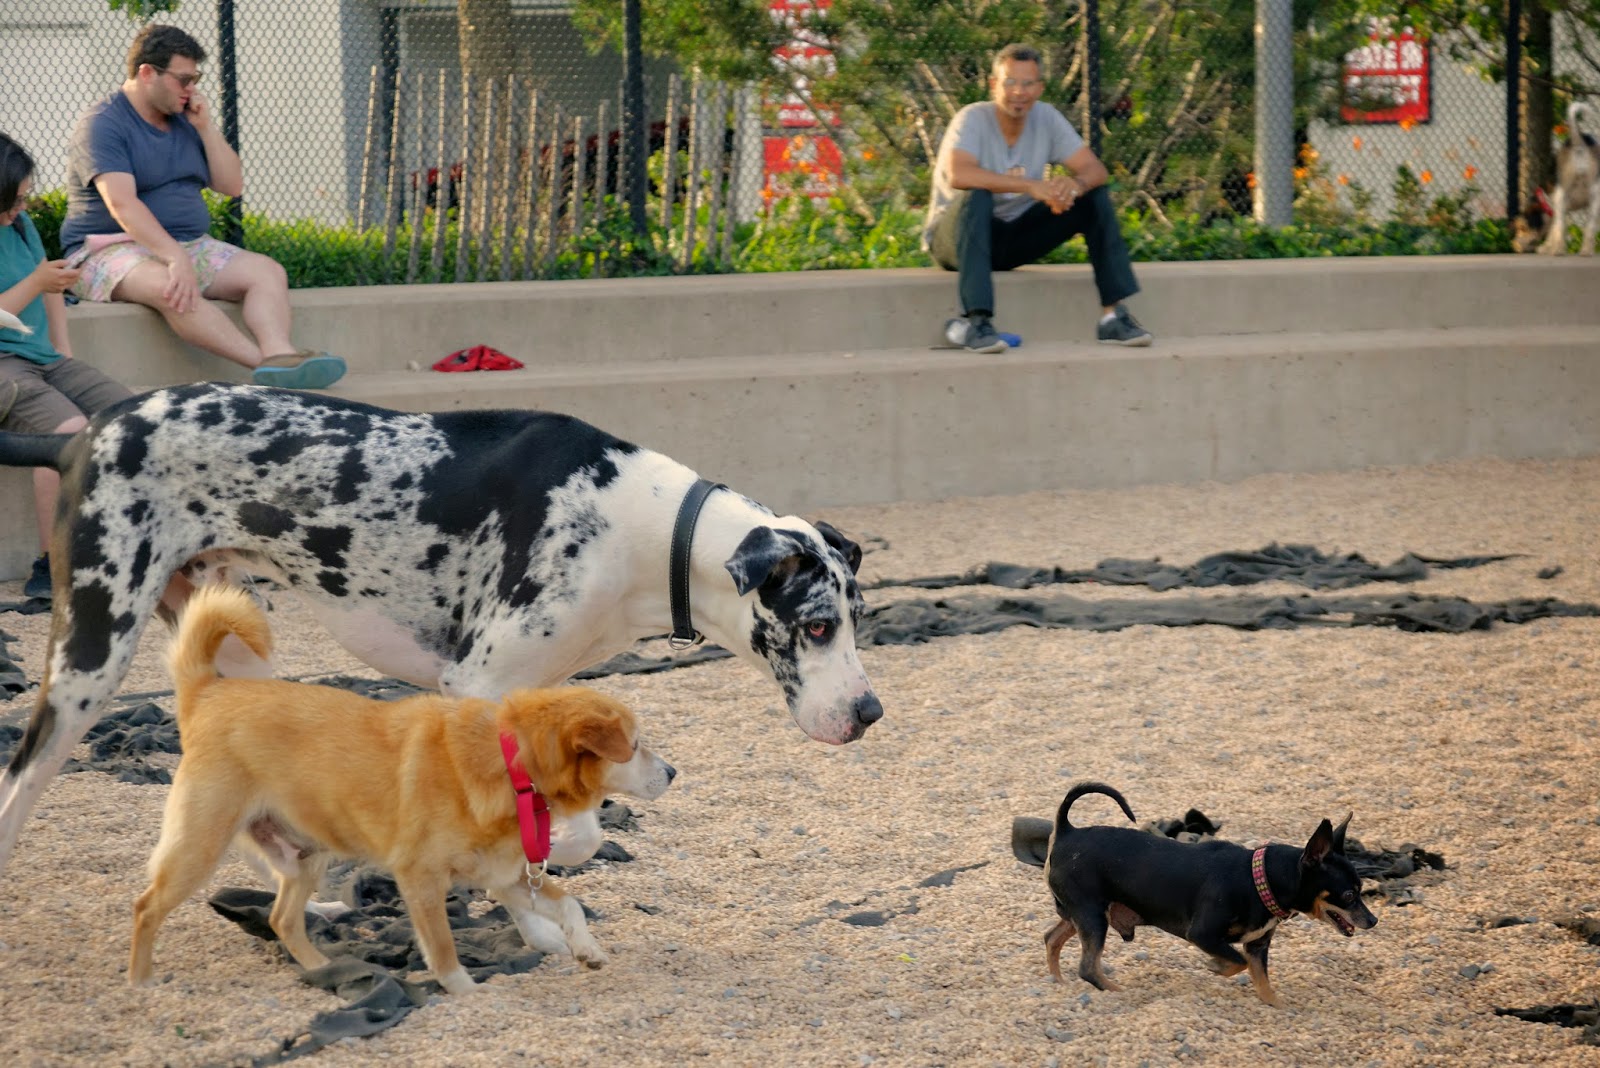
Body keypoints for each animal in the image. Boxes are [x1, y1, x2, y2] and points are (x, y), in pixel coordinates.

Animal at [0, 383, 889, 876]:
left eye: (856, 620)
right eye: (816, 627)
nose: (870, 713)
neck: (646, 524)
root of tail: (82, 435)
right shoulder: (477, 685)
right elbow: (570, 832)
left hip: (233, 651)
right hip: (90, 656)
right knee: (18, 784)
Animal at [128, 585, 672, 991]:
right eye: (636, 745)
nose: (672, 773)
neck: (510, 763)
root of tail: (206, 693)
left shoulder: (505, 876)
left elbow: (570, 904)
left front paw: (588, 950)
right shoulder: (421, 878)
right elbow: (445, 950)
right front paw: (467, 994)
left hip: (307, 855)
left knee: (283, 919)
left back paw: (323, 969)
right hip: (201, 846)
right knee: (147, 906)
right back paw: (142, 983)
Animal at [1036, 780, 1376, 1004]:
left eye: (1362, 890)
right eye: (1349, 895)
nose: (1373, 921)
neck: (1258, 879)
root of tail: (1066, 831)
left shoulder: (1257, 946)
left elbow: (1262, 981)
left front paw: (1276, 1006)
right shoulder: (1203, 935)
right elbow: (1236, 960)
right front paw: (1217, 966)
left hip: (1081, 915)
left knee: (1051, 939)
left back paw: (1058, 982)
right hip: (1093, 916)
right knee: (1087, 967)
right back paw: (1116, 992)